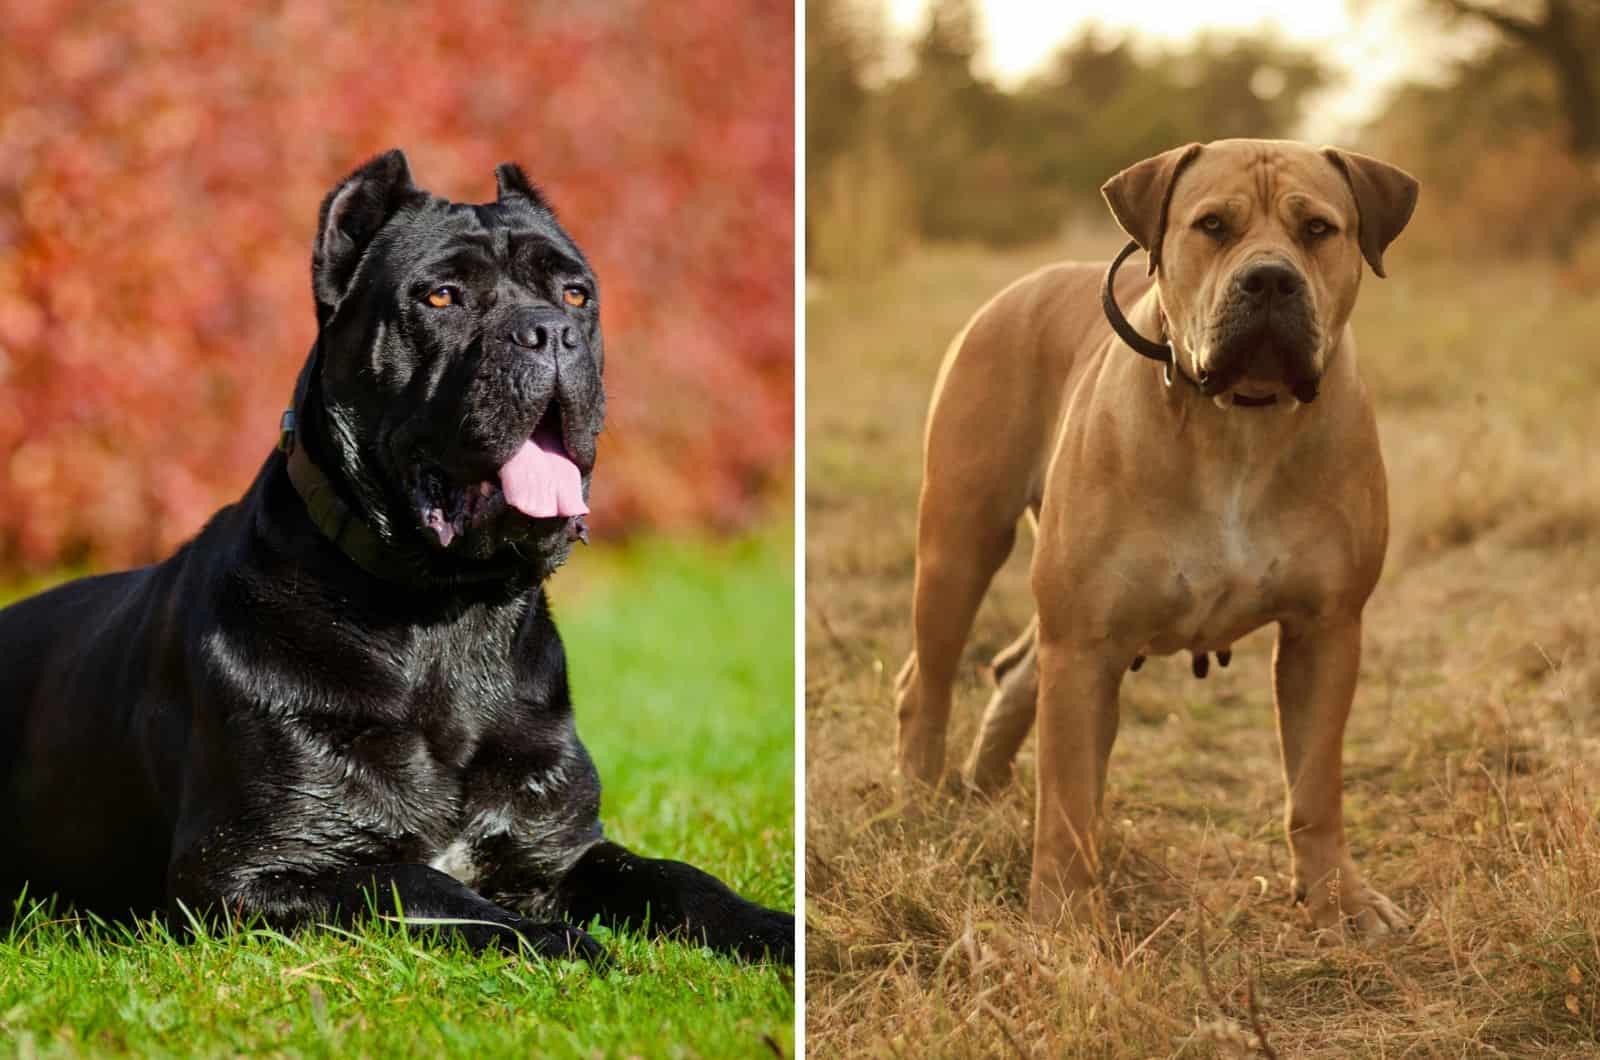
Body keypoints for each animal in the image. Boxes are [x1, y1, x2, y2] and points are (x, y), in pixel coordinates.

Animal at [0, 151, 793, 973]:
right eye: (440, 296)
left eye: (576, 293)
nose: (550, 332)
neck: (448, 617)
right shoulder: (246, 870)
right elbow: (417, 882)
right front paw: (565, 944)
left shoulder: (559, 848)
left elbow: (674, 876)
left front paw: (774, 929)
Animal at [896, 136, 1420, 935]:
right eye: (1212, 226)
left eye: (1318, 230)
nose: (1270, 279)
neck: (1242, 419)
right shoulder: (1087, 644)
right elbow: (1070, 797)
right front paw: (1064, 921)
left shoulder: (1325, 631)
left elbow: (1315, 785)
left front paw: (1339, 900)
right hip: (961, 545)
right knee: (925, 686)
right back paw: (923, 808)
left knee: (1014, 673)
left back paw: (984, 793)